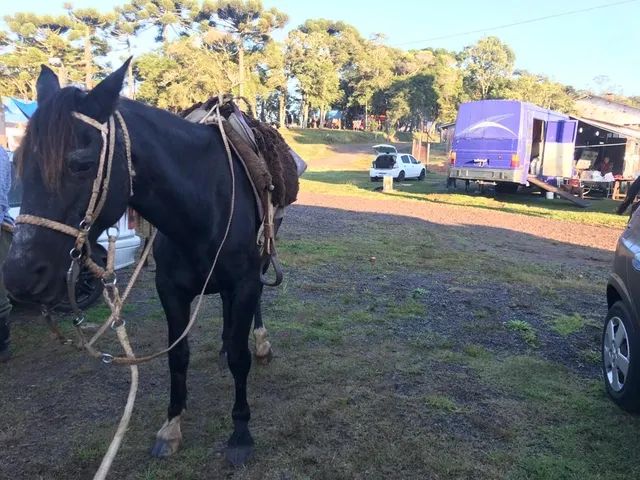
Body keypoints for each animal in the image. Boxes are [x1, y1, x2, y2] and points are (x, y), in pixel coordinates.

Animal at [2, 60, 284, 464]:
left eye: (81, 165)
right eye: (19, 162)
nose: (20, 275)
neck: (204, 205)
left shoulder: (243, 283)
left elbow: (240, 357)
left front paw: (241, 432)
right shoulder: (171, 290)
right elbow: (178, 356)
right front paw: (172, 426)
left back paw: (259, 343)